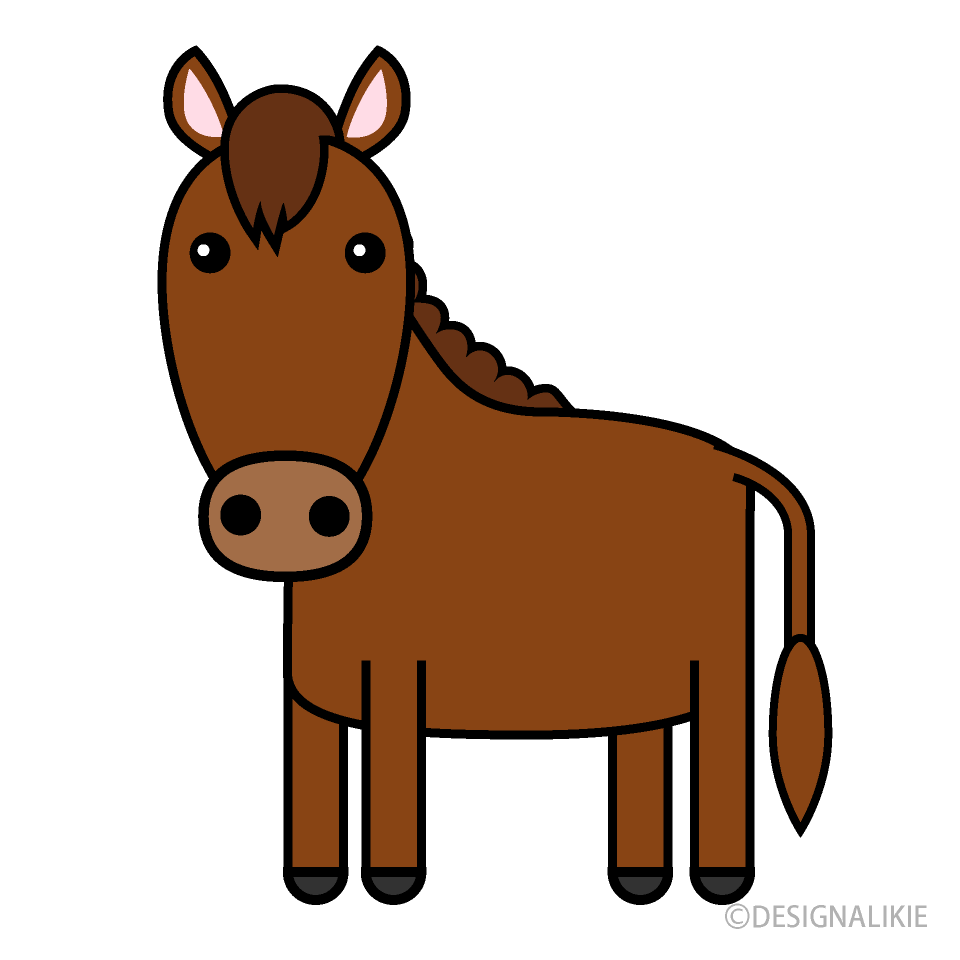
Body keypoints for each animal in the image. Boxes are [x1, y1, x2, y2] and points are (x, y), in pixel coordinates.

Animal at [159, 45, 831, 907]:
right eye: (203, 250)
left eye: (367, 249)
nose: (286, 508)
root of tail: (728, 459)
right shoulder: (305, 702)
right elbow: (311, 792)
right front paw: (312, 883)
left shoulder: (398, 681)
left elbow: (392, 791)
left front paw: (393, 886)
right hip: (644, 678)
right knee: (643, 748)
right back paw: (638, 877)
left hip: (719, 676)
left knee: (721, 757)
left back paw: (719, 878)